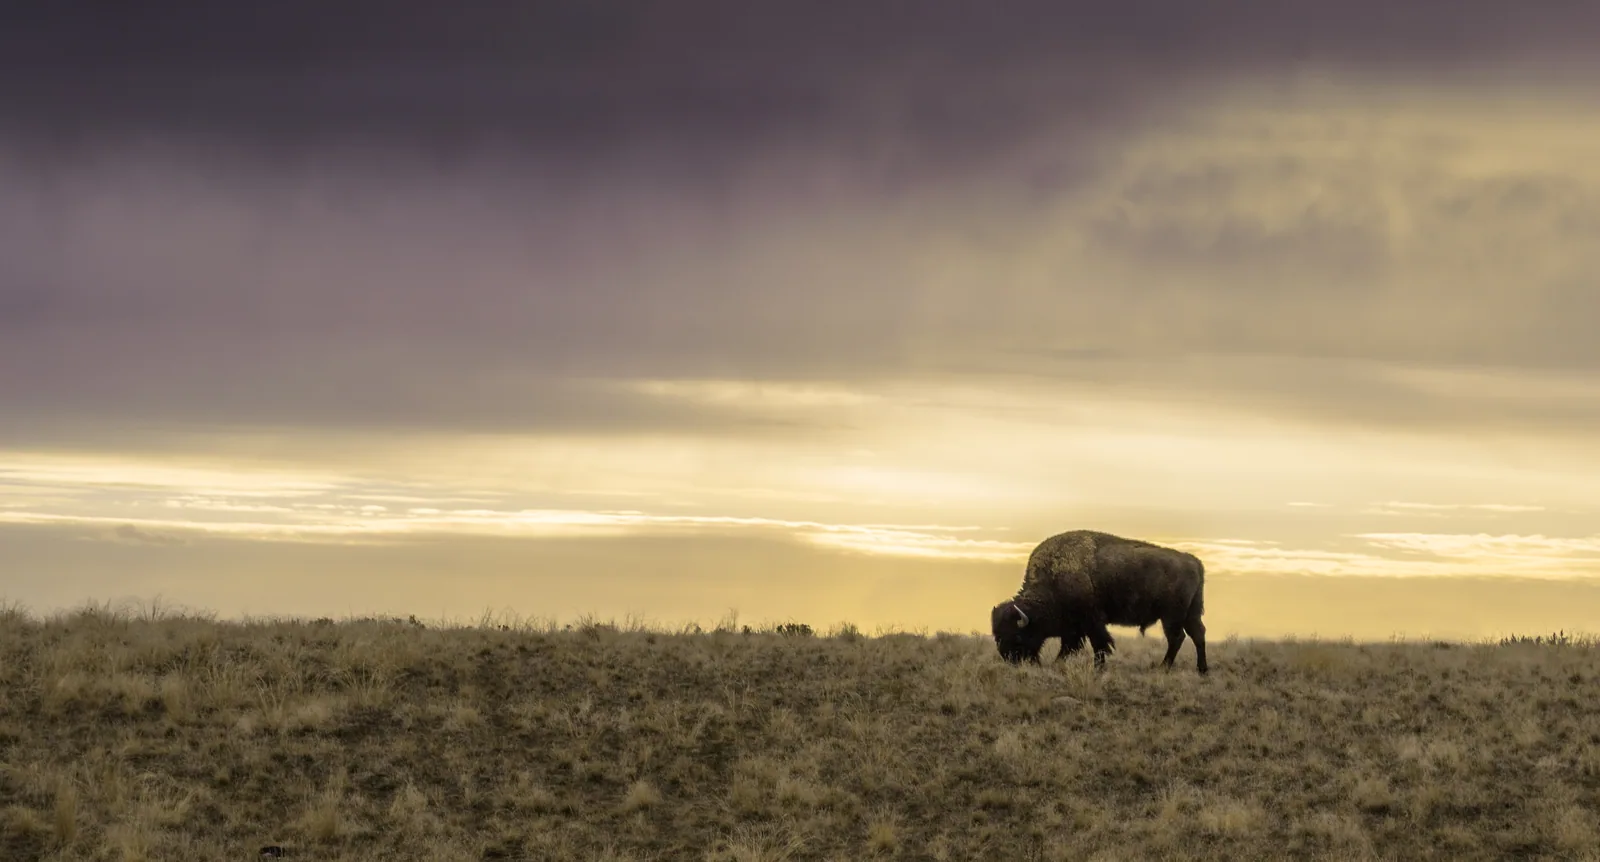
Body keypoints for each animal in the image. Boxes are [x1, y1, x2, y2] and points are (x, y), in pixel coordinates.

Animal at [990, 530, 1207, 674]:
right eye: (997, 636)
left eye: (1018, 636)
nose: (1012, 661)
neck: (1052, 581)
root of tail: (1193, 561)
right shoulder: (1075, 627)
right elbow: (1070, 646)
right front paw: (1058, 663)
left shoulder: (1091, 622)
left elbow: (1099, 644)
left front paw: (1097, 668)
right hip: (1191, 613)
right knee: (1197, 634)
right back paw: (1201, 669)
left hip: (1171, 616)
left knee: (1177, 638)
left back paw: (1163, 667)